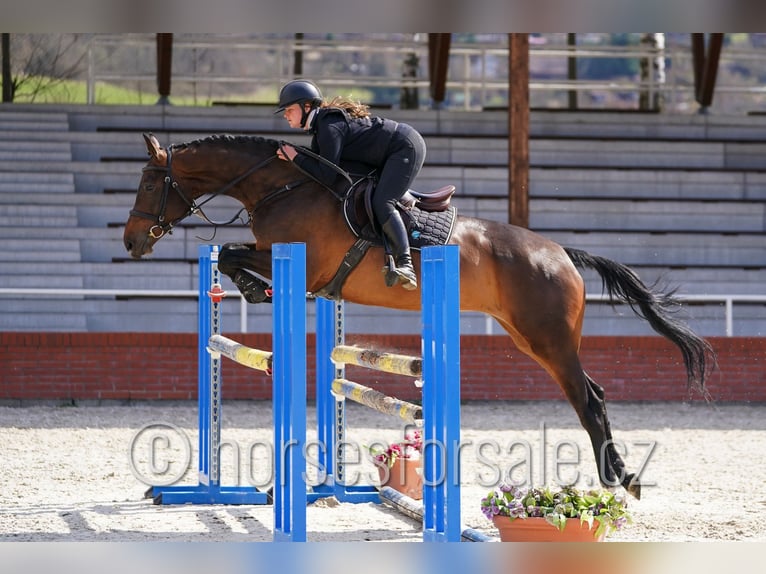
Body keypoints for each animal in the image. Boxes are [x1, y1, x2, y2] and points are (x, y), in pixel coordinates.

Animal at [124, 132, 715, 500]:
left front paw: (252, 286)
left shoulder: (301, 266)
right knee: (595, 393)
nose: (131, 242)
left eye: (149, 183)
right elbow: (230, 254)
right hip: (528, 338)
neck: (282, 184)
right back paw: (622, 475)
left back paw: (620, 480)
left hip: (549, 341)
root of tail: (562, 254)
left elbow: (232, 254)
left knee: (589, 401)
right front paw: (250, 287)